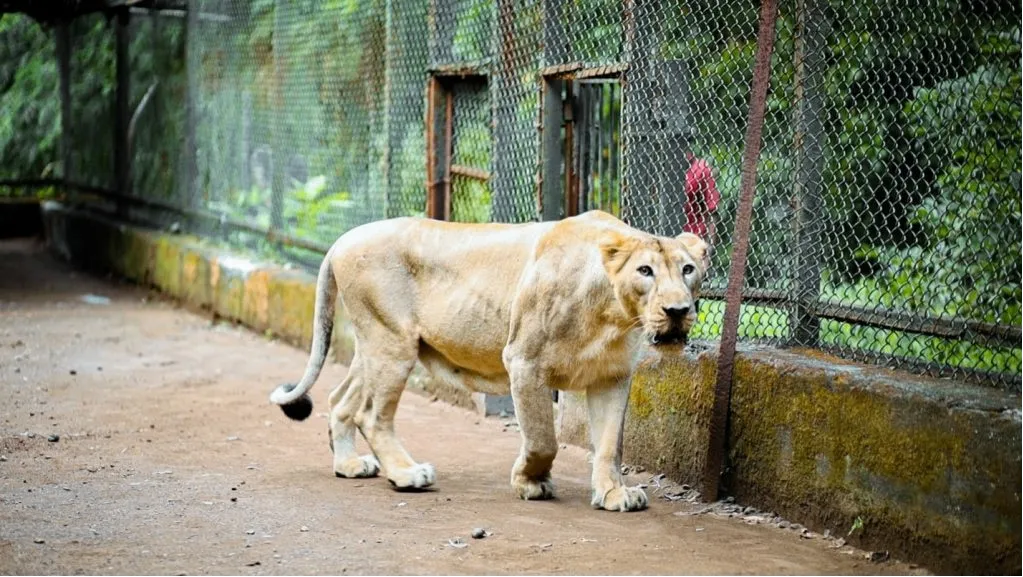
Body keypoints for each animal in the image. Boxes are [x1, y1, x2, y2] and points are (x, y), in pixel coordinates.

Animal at [269, 210, 709, 512]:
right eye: (645, 271)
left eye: (688, 269)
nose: (677, 310)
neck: (611, 315)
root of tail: (343, 238)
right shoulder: (524, 361)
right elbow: (543, 438)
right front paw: (530, 483)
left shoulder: (612, 377)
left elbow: (607, 445)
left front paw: (614, 493)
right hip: (390, 342)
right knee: (371, 414)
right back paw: (407, 475)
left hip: (376, 344)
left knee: (340, 401)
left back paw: (348, 464)